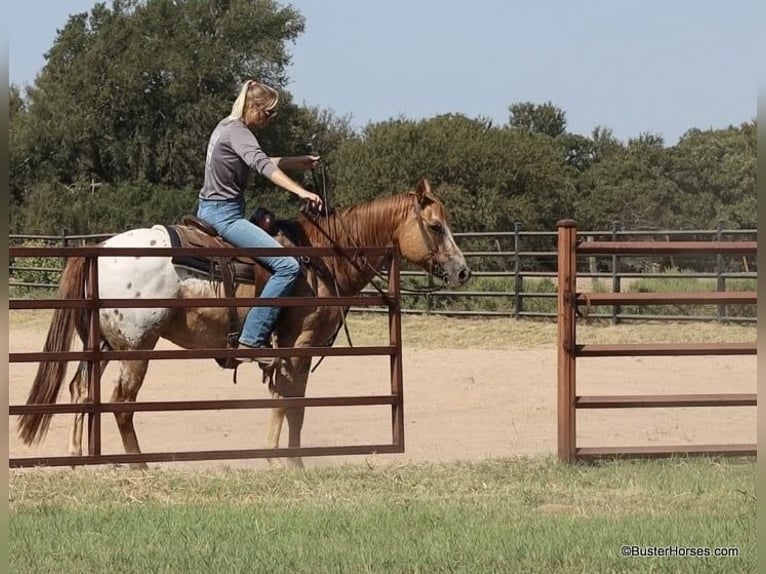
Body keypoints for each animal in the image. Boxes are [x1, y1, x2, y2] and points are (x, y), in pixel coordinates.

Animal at [16, 178, 472, 469]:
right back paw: (139, 466)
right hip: (137, 347)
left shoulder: (283, 351)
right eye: (436, 227)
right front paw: (292, 462)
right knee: (120, 403)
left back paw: (79, 460)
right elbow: (294, 404)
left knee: (80, 389)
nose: (463, 271)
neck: (323, 257)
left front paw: (273, 455)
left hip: (106, 345)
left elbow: (279, 399)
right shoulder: (300, 343)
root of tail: (99, 249)